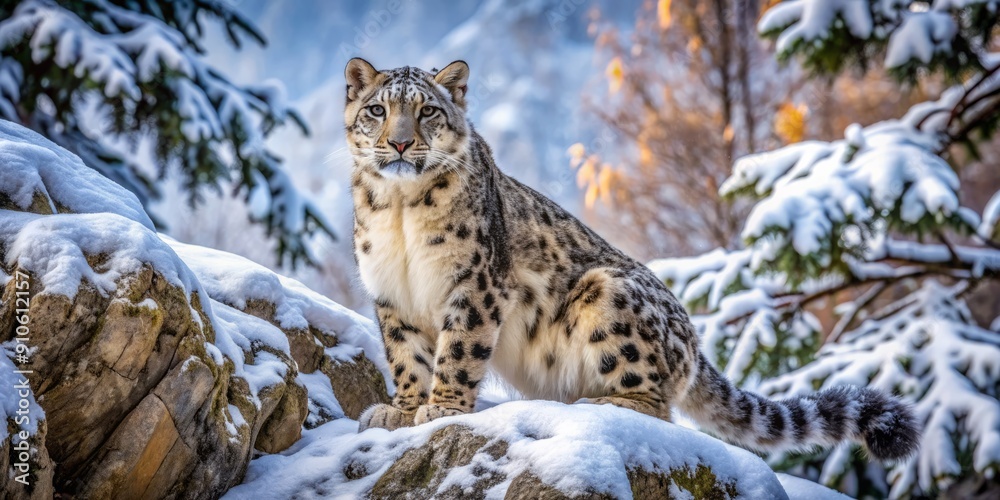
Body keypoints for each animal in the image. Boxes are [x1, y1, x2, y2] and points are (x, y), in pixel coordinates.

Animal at [344, 57, 920, 462]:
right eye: (377, 110)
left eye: (427, 110)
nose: (400, 143)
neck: (400, 211)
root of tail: (694, 342)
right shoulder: (392, 294)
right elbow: (407, 356)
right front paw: (399, 410)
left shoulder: (475, 283)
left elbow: (458, 351)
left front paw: (440, 409)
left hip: (607, 293)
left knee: (659, 407)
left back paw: (600, 403)